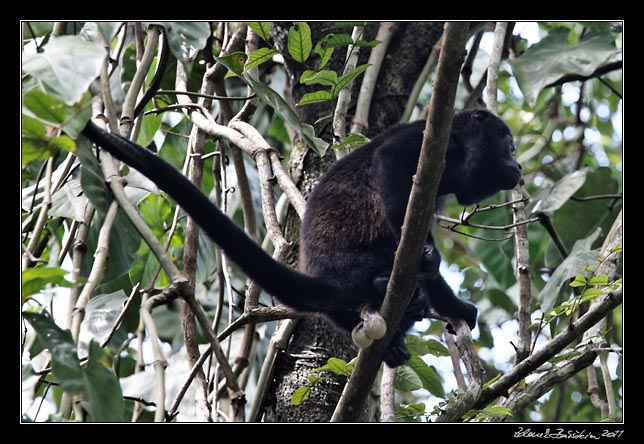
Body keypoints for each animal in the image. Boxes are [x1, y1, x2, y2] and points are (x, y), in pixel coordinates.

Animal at [80, 110, 524, 368]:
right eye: (509, 144)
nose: (518, 165)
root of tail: (327, 281)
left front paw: (453, 306)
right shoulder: (428, 140)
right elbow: (392, 164)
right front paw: (419, 256)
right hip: (354, 267)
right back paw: (388, 280)